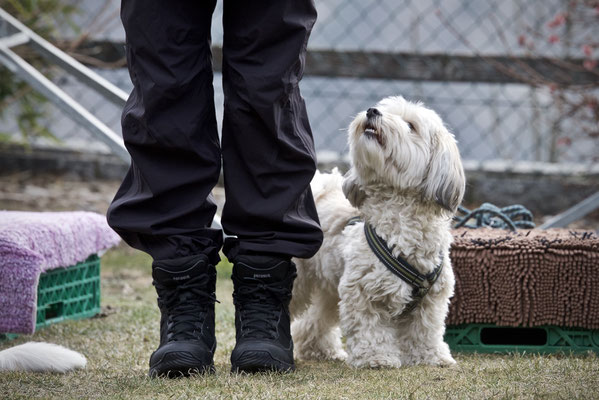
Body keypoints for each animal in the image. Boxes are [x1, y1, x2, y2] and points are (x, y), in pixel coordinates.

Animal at [292, 95, 466, 368]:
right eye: (383, 108)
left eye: (411, 125)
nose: (372, 111)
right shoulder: (361, 291)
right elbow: (369, 328)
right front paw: (376, 358)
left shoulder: (432, 300)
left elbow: (425, 329)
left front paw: (431, 356)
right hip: (299, 279)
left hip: (329, 286)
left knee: (315, 320)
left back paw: (320, 350)